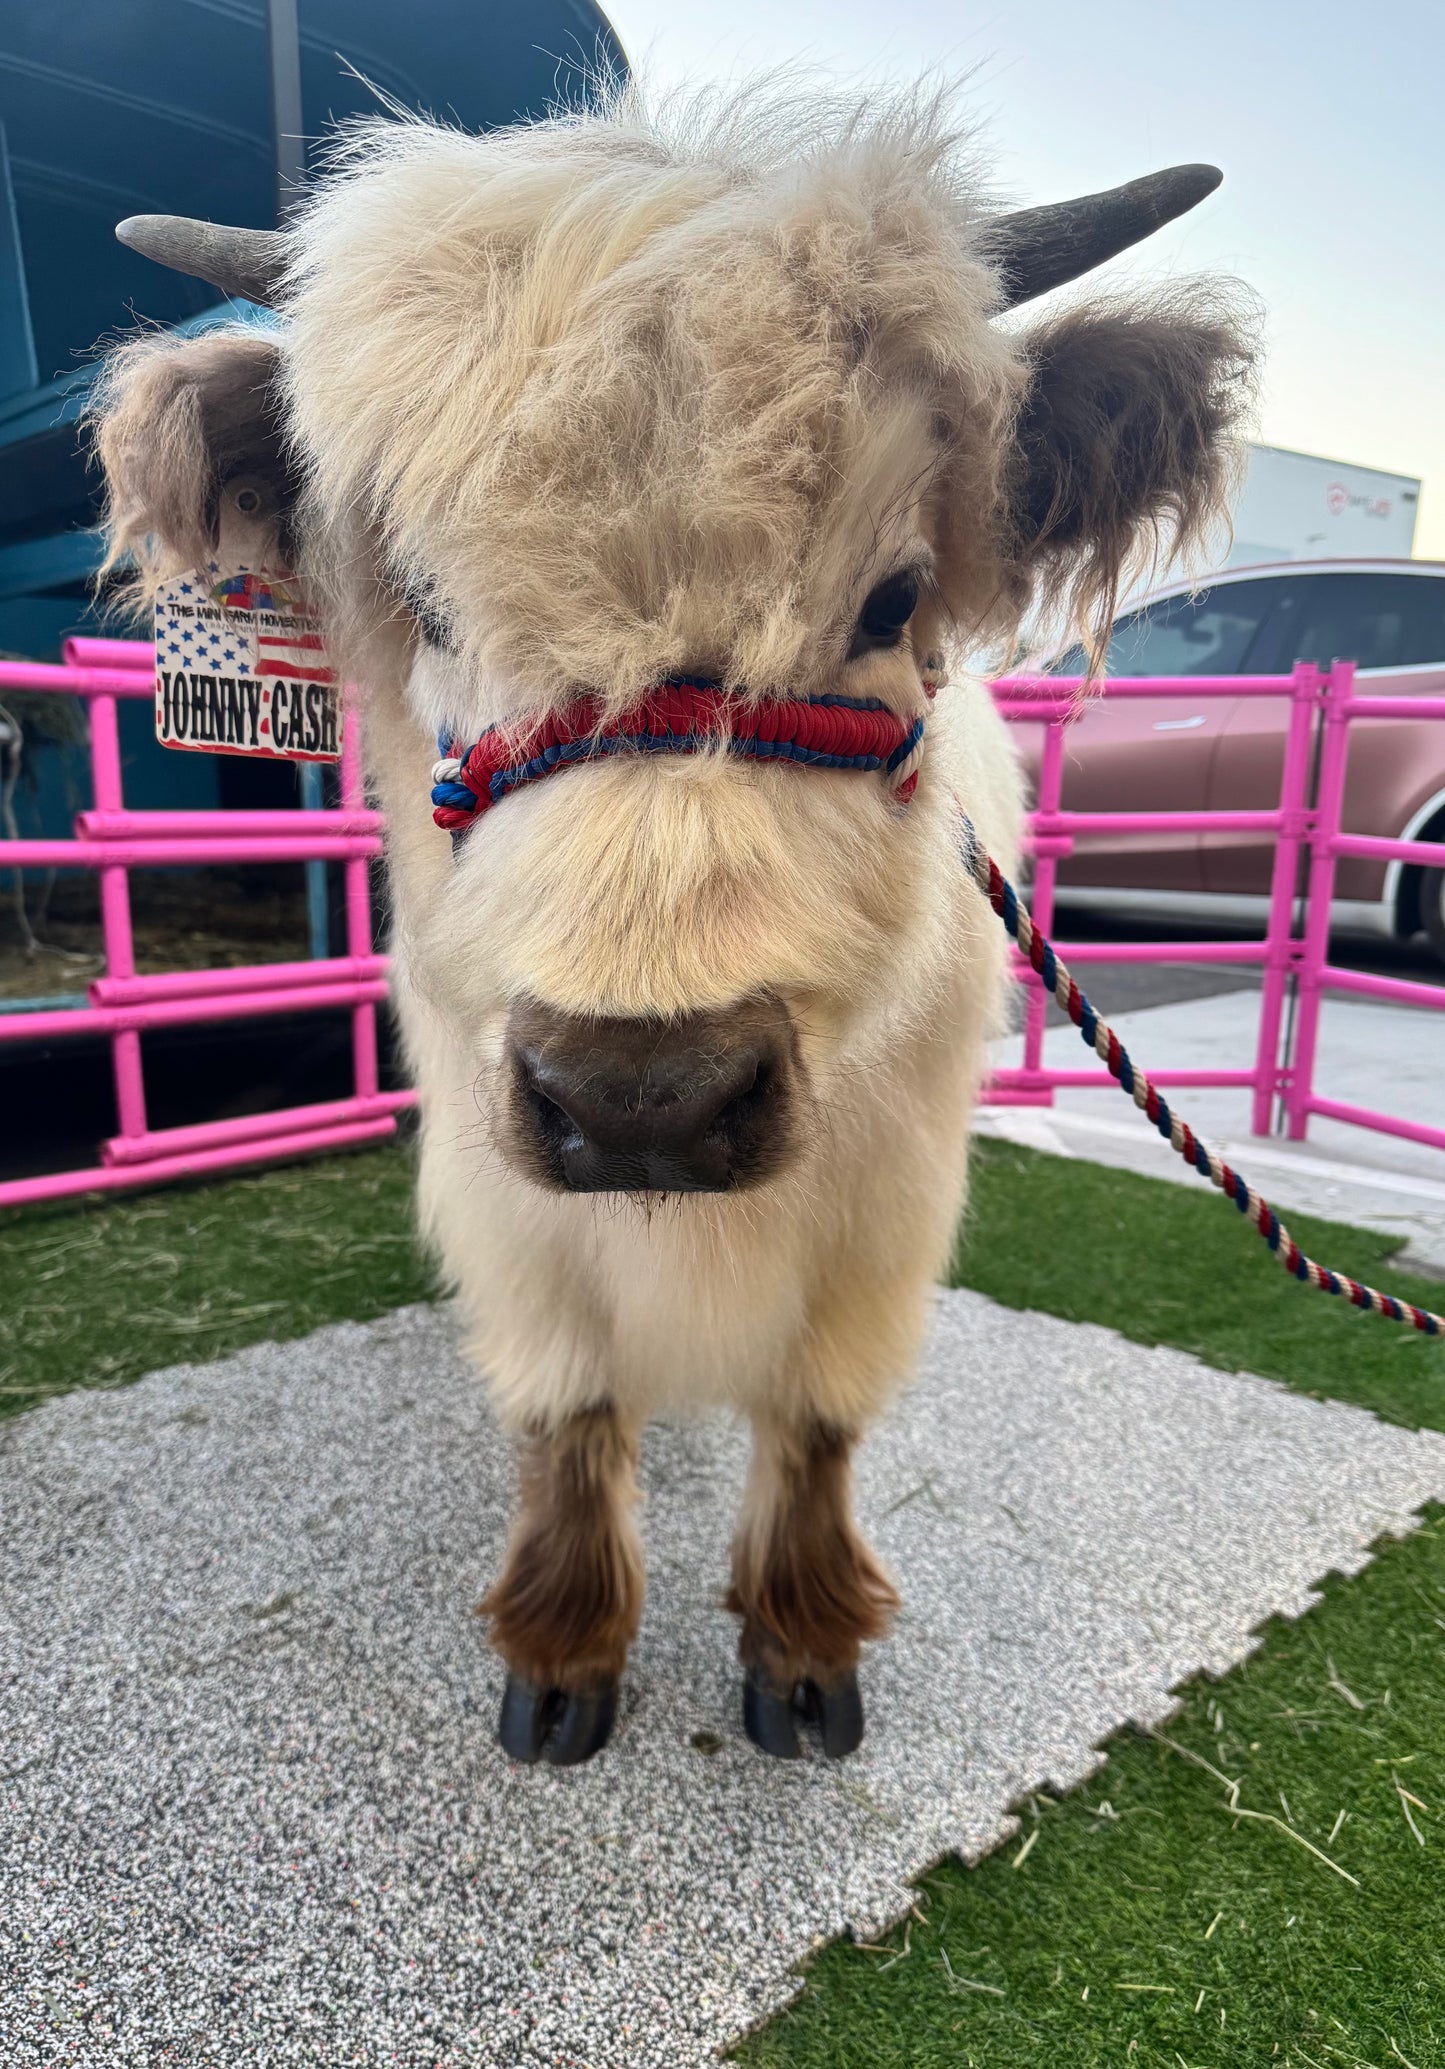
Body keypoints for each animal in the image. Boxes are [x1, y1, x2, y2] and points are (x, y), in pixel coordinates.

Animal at [92, 83, 1252, 1766]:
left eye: (891, 598)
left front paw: (806, 1655)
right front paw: (561, 1661)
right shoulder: (503, 1174)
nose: (647, 1096)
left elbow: (818, 1416)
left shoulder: (888, 1199)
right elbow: (568, 1409)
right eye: (427, 603)